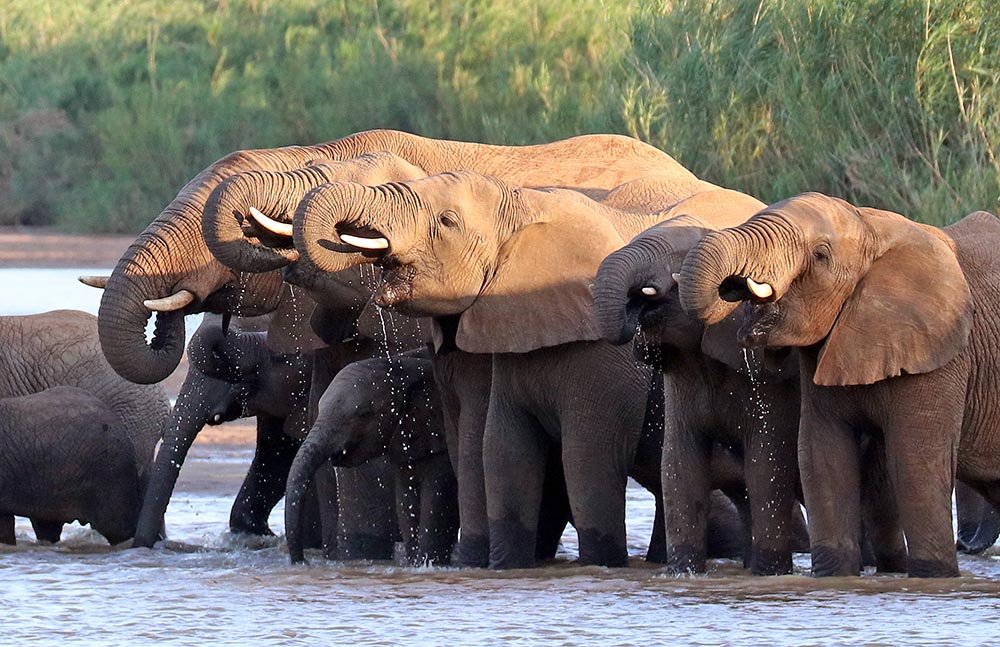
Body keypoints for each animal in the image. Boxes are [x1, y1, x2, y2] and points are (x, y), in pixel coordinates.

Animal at [284, 350, 458, 568]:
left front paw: (427, 565)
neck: (403, 365)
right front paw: (415, 565)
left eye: (364, 414)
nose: (304, 562)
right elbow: (406, 499)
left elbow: (436, 497)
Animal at [588, 195, 816, 576]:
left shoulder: (769, 382)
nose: (637, 302)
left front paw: (767, 574)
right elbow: (679, 465)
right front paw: (684, 573)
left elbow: (765, 464)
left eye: (680, 260)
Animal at [680, 192, 1000, 576]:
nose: (736, 283)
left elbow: (916, 465)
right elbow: (822, 458)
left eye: (820, 255)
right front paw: (834, 577)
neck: (870, 226)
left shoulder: (941, 356)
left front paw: (933, 578)